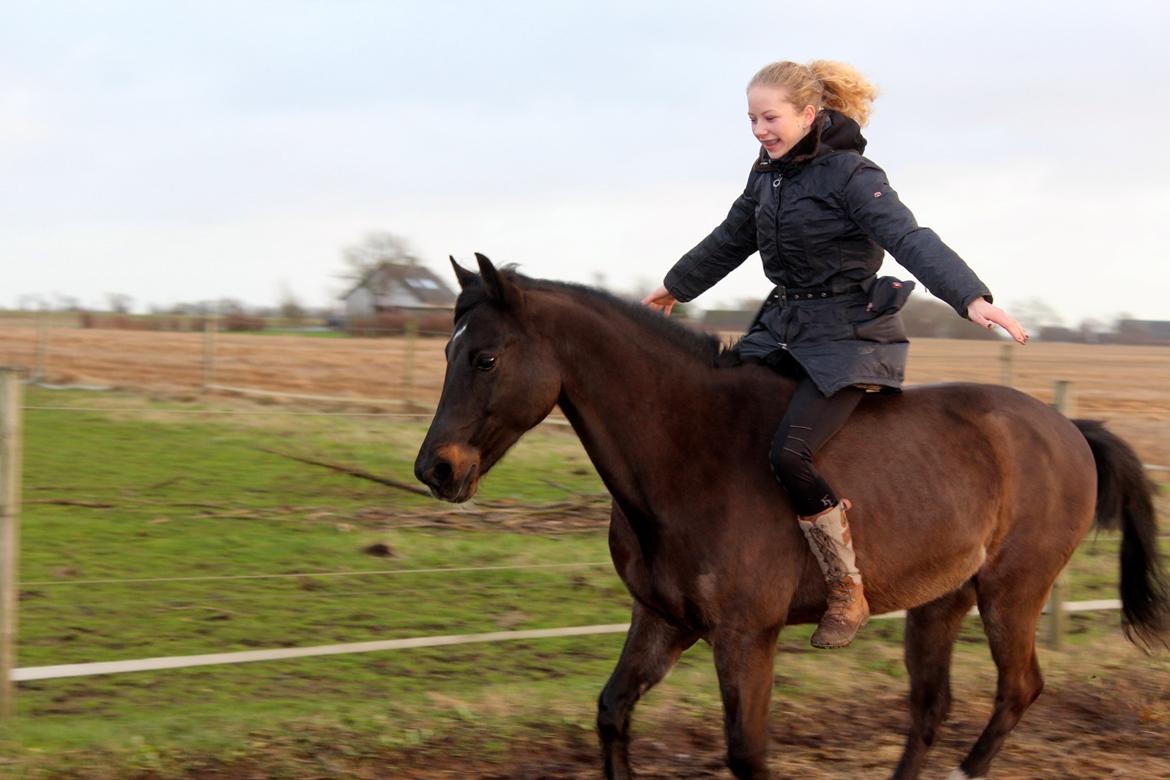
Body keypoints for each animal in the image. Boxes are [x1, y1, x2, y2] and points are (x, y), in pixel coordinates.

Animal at [414, 254, 1168, 779]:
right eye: (446, 350)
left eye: (485, 356)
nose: (434, 470)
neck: (688, 454)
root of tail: (1069, 429)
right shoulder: (663, 622)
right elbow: (611, 714)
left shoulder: (746, 636)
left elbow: (747, 752)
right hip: (940, 602)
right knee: (931, 706)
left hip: (1012, 593)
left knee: (1017, 691)